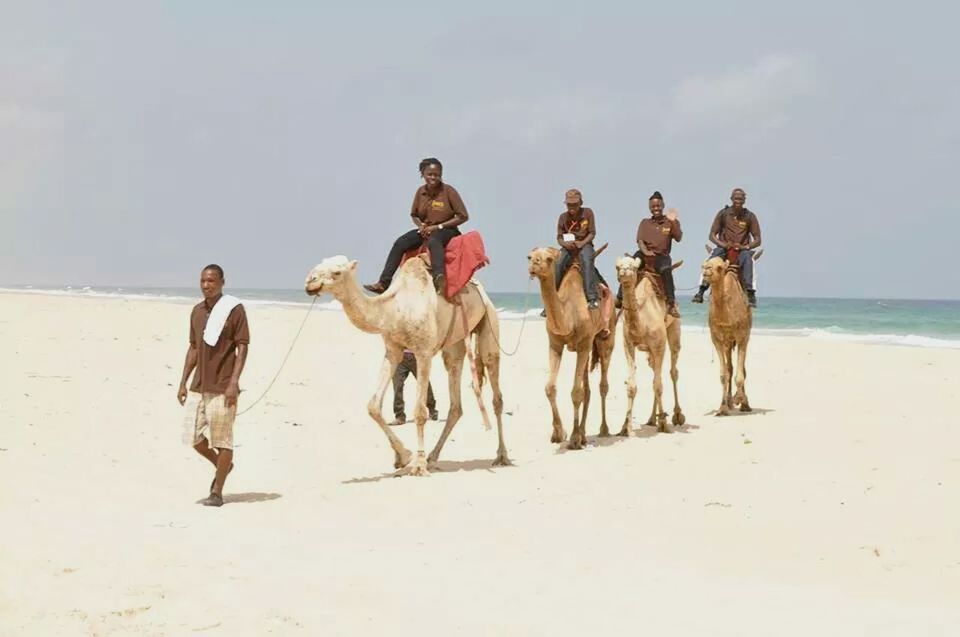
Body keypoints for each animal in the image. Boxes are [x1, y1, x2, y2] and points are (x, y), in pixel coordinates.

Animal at [306, 253, 510, 472]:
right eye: (319, 265)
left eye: (337, 272)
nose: (310, 282)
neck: (396, 308)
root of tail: (482, 292)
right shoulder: (393, 350)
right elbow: (373, 406)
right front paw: (403, 456)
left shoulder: (423, 352)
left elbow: (420, 412)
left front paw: (418, 464)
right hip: (454, 345)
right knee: (455, 399)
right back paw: (433, 457)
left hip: (489, 321)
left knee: (495, 386)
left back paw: (501, 456)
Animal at [524, 243, 616, 448]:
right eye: (530, 256)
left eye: (549, 258)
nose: (534, 265)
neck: (569, 313)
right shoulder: (555, 344)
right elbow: (550, 388)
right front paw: (559, 433)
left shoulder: (583, 345)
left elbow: (576, 392)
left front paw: (573, 439)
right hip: (588, 348)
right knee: (588, 389)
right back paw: (583, 434)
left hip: (606, 337)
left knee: (603, 384)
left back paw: (603, 430)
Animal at [612, 256, 688, 434]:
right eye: (617, 266)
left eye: (633, 266)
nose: (624, 272)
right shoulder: (628, 344)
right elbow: (632, 386)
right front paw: (625, 427)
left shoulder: (659, 345)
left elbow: (658, 384)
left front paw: (664, 424)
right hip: (649, 353)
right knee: (655, 372)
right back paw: (653, 418)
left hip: (674, 330)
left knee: (672, 371)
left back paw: (676, 415)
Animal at [700, 248, 760, 418]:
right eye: (706, 264)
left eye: (720, 267)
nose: (706, 270)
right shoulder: (717, 339)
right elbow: (723, 374)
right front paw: (723, 408)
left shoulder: (742, 337)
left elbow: (740, 374)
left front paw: (741, 400)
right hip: (728, 343)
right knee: (730, 367)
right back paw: (729, 402)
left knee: (742, 369)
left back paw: (744, 403)